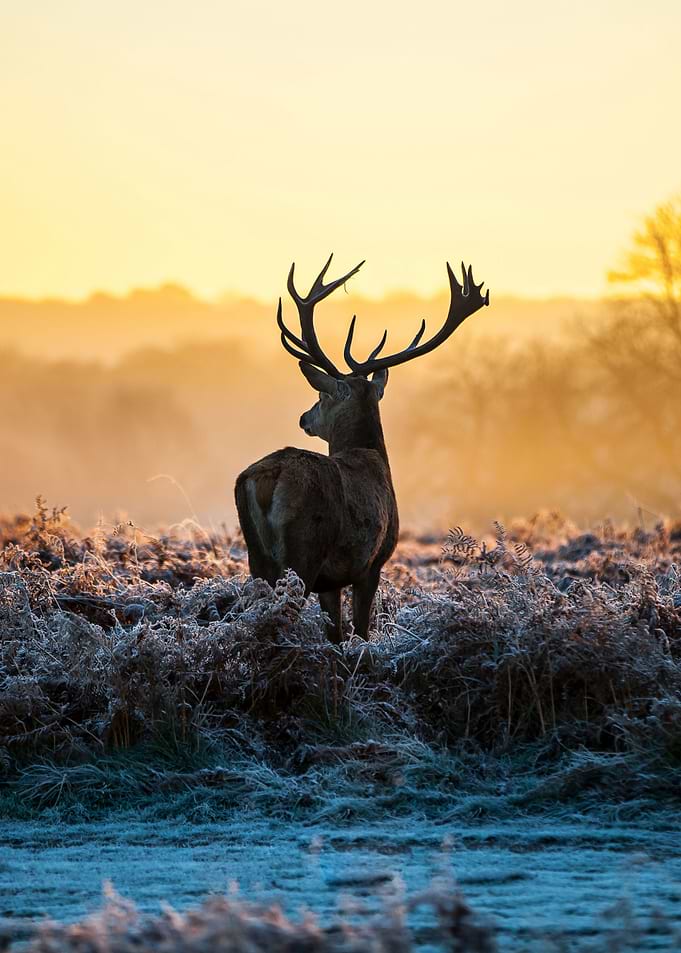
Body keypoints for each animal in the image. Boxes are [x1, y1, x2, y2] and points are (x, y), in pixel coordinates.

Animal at [235, 255, 489, 643]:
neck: (372, 456)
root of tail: (268, 477)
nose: (304, 418)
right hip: (304, 550)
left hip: (257, 556)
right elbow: (362, 631)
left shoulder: (332, 580)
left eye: (321, 395)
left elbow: (336, 633)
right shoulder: (371, 563)